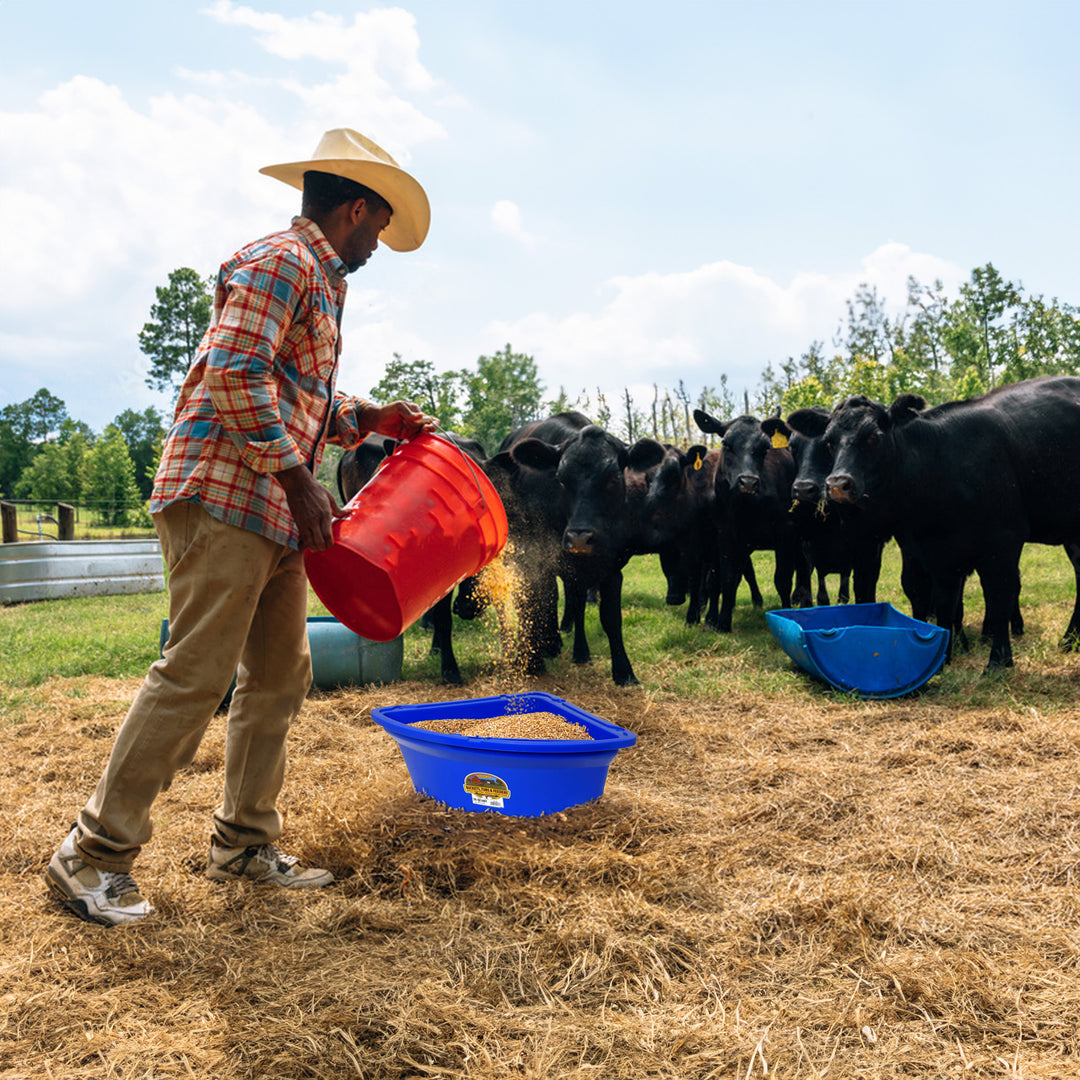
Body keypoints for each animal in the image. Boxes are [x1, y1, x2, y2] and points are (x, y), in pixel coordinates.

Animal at [691, 406, 812, 630]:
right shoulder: (726, 532)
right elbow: (727, 579)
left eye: (765, 448)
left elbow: (782, 579)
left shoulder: (785, 527)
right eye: (726, 444)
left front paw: (786, 616)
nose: (747, 481)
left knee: (804, 566)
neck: (746, 506)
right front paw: (722, 622)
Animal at [816, 378, 1080, 665]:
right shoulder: (923, 549)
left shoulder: (1004, 539)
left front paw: (998, 661)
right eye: (828, 442)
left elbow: (999, 595)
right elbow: (934, 598)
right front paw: (941, 655)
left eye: (873, 436)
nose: (838, 484)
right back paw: (1070, 640)